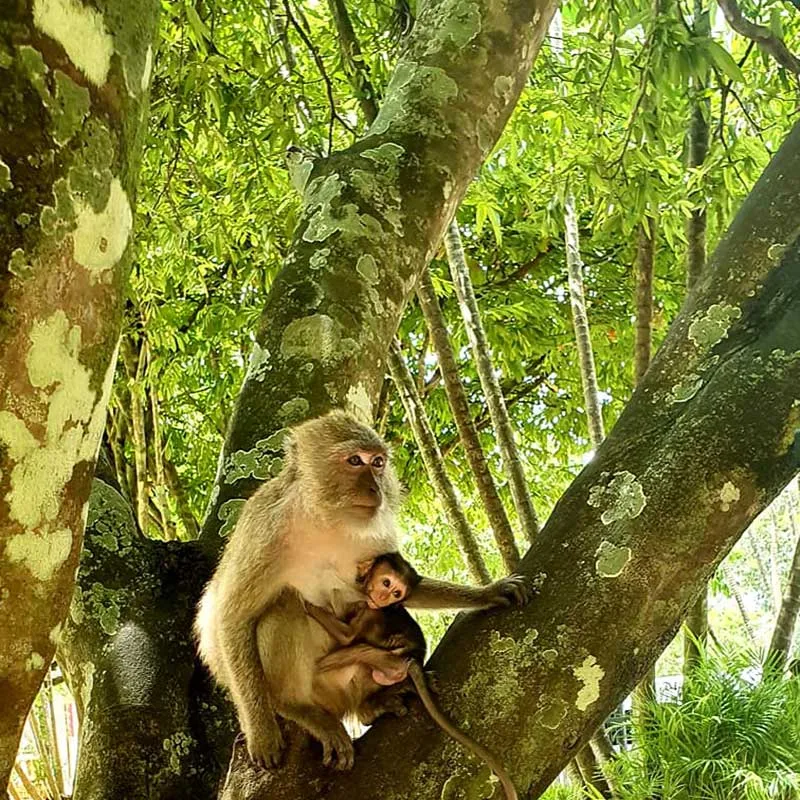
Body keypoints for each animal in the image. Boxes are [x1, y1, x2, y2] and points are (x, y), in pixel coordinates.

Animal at [194, 410, 531, 770]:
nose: (375, 488)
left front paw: (489, 592)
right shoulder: (264, 530)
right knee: (283, 607)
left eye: (379, 462)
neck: (324, 518)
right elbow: (231, 617)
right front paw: (261, 731)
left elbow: (406, 585)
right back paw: (294, 707)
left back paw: (371, 705)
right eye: (355, 461)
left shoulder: (373, 535)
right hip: (315, 687)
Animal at [305, 554, 519, 800]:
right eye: (386, 583)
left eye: (396, 593)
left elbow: (347, 636)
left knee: (355, 651)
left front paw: (310, 606)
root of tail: (412, 659)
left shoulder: (370, 612)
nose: (383, 597)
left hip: (391, 660)